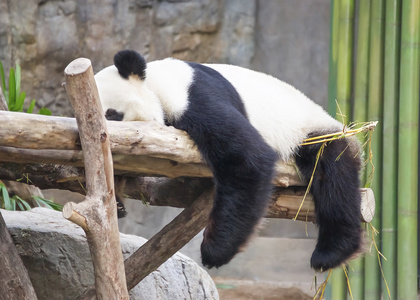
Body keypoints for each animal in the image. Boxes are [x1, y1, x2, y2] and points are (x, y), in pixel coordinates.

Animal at [93, 49, 362, 272]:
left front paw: (215, 252)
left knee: (333, 176)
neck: (155, 83)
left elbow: (247, 159)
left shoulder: (195, 98)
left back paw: (331, 253)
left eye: (113, 114)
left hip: (311, 130)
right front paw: (116, 204)